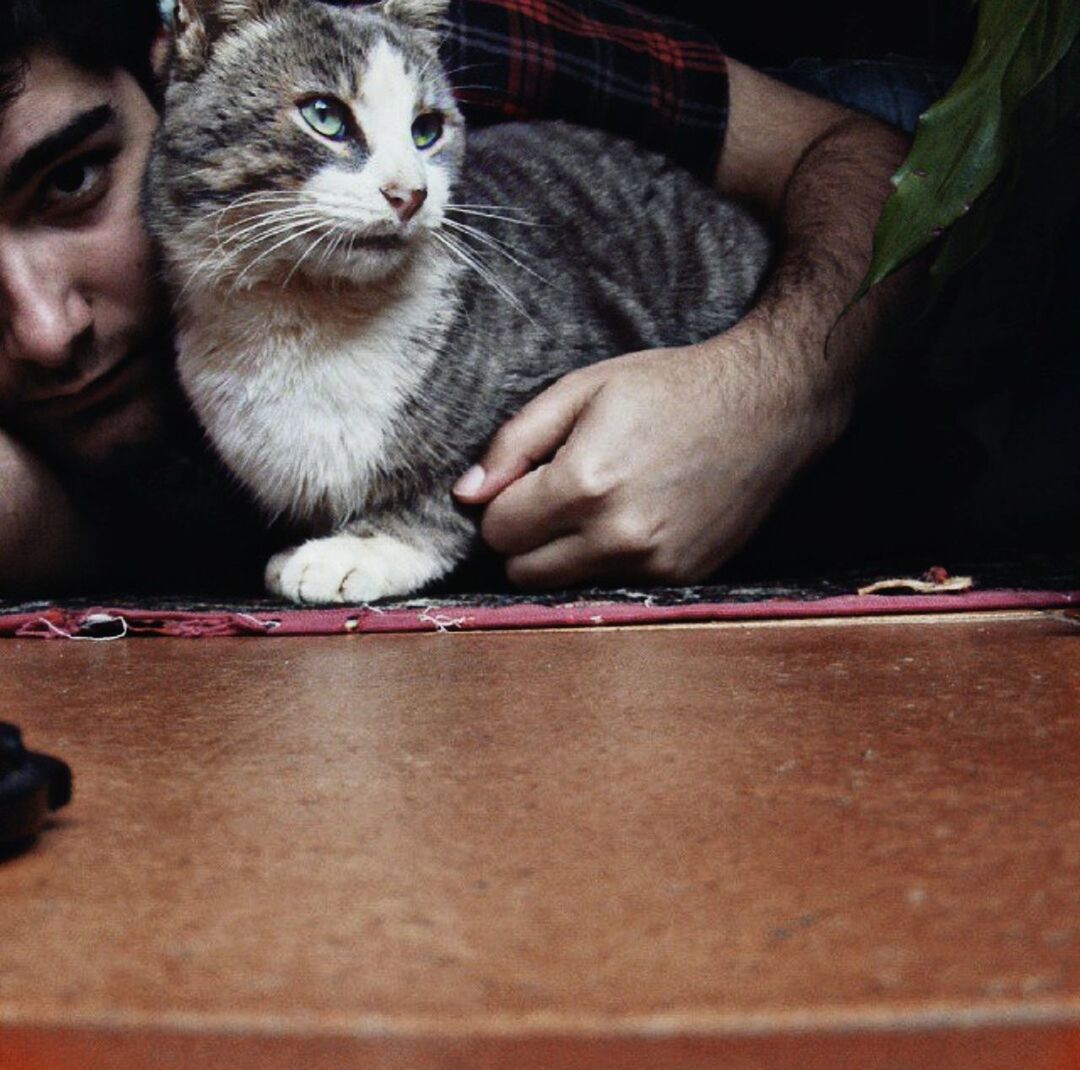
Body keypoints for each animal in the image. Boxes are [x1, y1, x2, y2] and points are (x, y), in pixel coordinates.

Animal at [147, 0, 773, 604]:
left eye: (426, 129)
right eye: (324, 115)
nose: (408, 193)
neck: (310, 313)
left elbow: (450, 485)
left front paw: (359, 551)